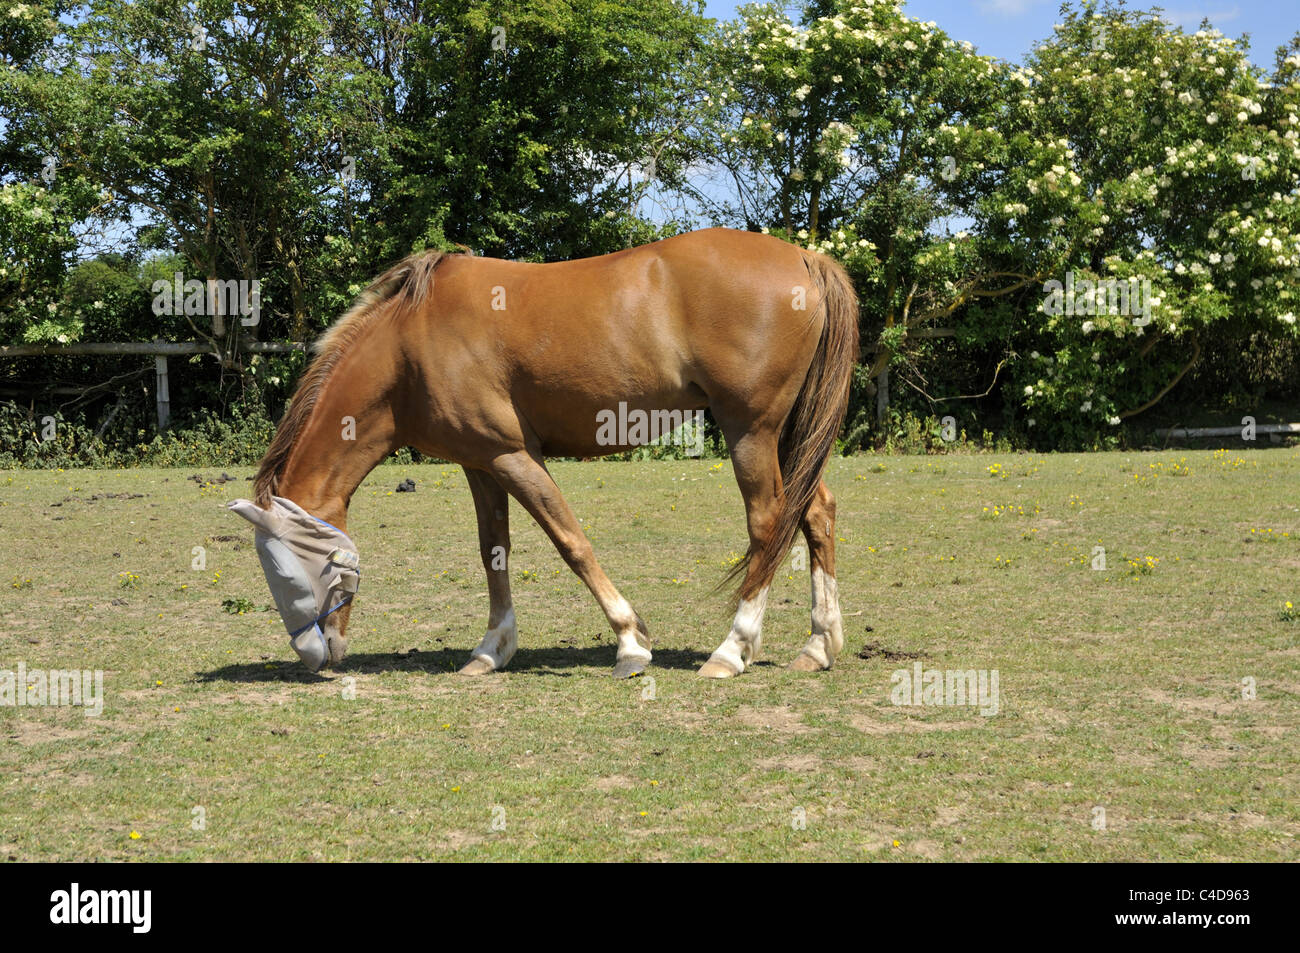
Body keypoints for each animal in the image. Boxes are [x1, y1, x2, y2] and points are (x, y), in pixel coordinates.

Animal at [231, 227, 863, 681]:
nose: (315, 655)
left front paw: (630, 643)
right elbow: (494, 553)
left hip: (750, 432)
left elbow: (571, 542)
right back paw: (818, 644)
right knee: (816, 513)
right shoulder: (481, 464)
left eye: (290, 570)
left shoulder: (514, 457)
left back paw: (732, 650)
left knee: (768, 522)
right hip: (787, 437)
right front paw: (491, 650)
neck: (409, 347)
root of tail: (806, 259)